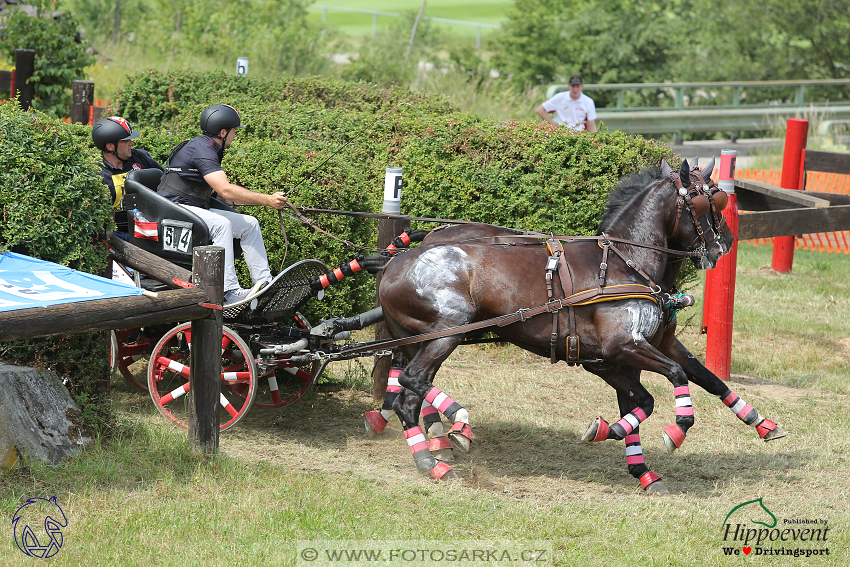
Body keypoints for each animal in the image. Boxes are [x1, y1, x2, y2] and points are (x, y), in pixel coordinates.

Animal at [374, 159, 784, 492]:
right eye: (708, 202)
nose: (726, 243)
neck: (627, 261)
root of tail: (395, 264)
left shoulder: (636, 352)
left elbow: (692, 383)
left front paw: (759, 422)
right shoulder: (621, 349)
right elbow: (674, 379)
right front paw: (675, 430)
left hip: (420, 339)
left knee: (408, 399)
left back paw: (430, 458)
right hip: (448, 332)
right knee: (411, 380)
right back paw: (456, 423)